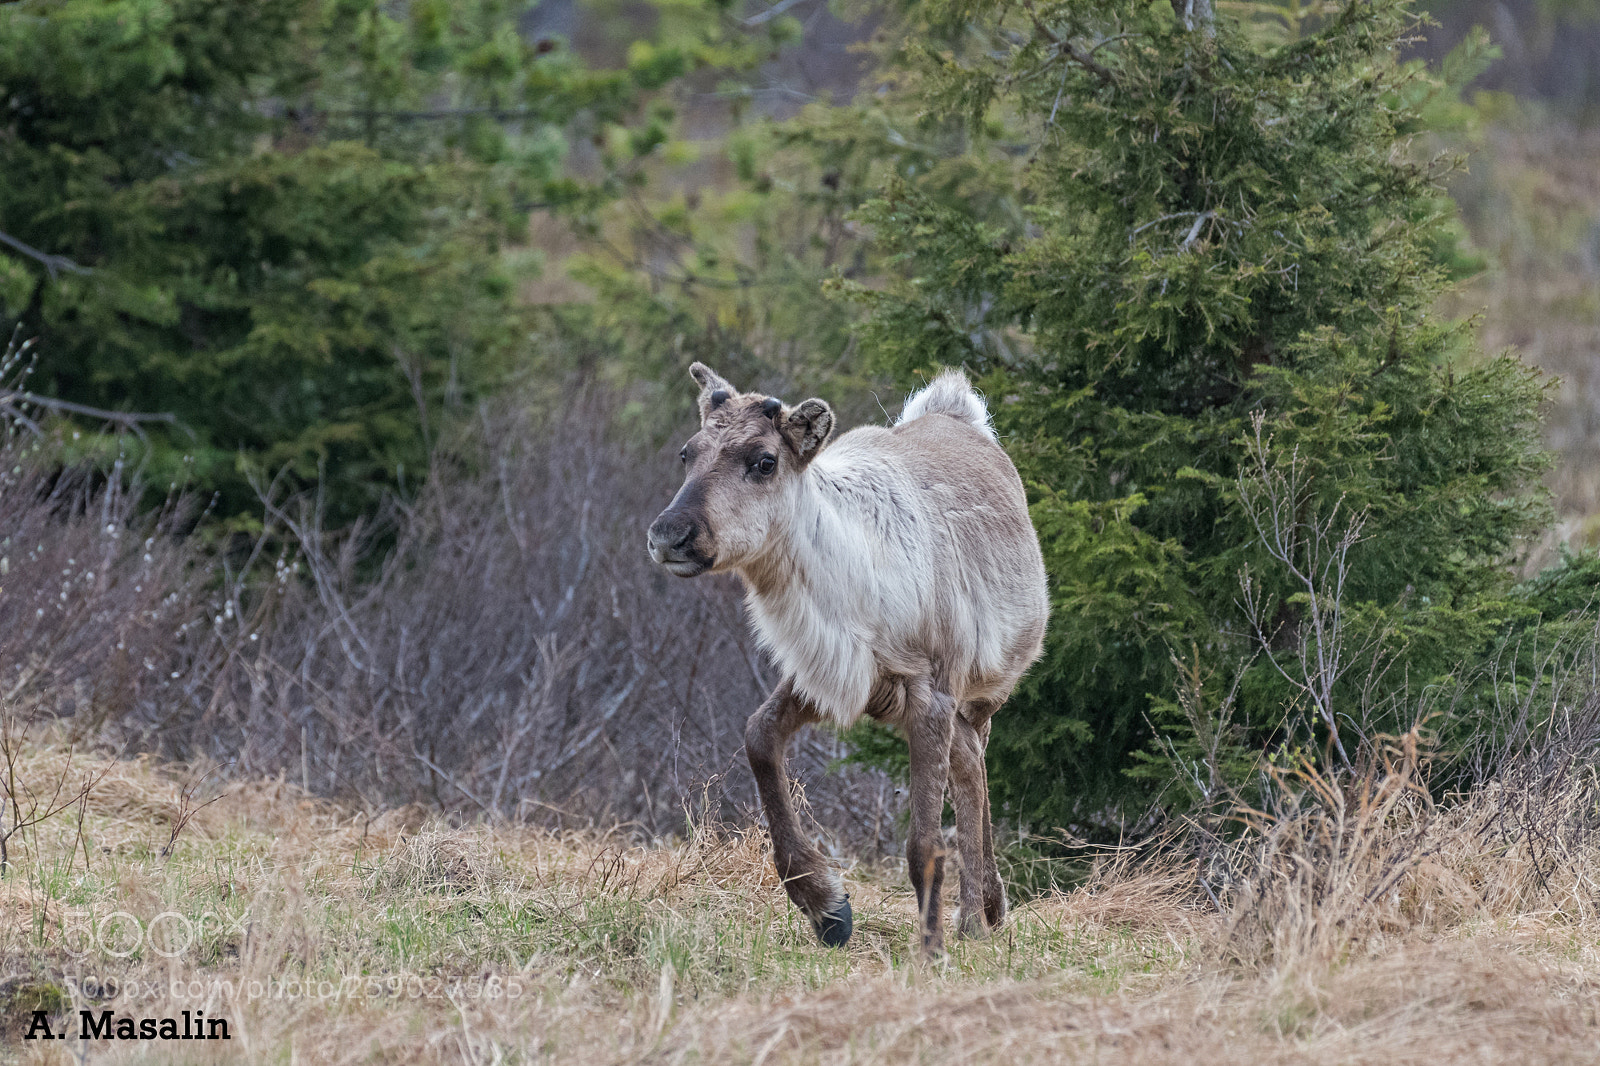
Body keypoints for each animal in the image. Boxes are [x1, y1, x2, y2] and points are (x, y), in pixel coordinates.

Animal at [646, 363, 1048, 954]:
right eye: (686, 453)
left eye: (764, 461)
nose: (668, 535)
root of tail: (956, 408)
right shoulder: (833, 674)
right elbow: (758, 736)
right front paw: (826, 905)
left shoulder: (930, 693)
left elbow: (923, 842)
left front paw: (930, 947)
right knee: (972, 765)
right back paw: (988, 911)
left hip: (984, 693)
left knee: (975, 768)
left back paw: (976, 918)